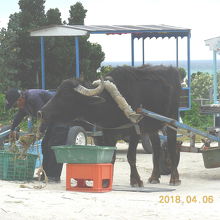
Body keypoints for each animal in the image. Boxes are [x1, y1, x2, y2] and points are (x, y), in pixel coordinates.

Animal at [38, 65, 181, 186]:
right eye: (57, 92)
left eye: (66, 95)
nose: (41, 112)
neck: (111, 103)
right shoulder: (108, 133)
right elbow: (110, 157)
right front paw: (107, 181)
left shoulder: (135, 132)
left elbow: (131, 157)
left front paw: (135, 180)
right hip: (152, 127)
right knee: (157, 148)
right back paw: (154, 177)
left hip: (172, 119)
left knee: (172, 146)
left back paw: (174, 178)